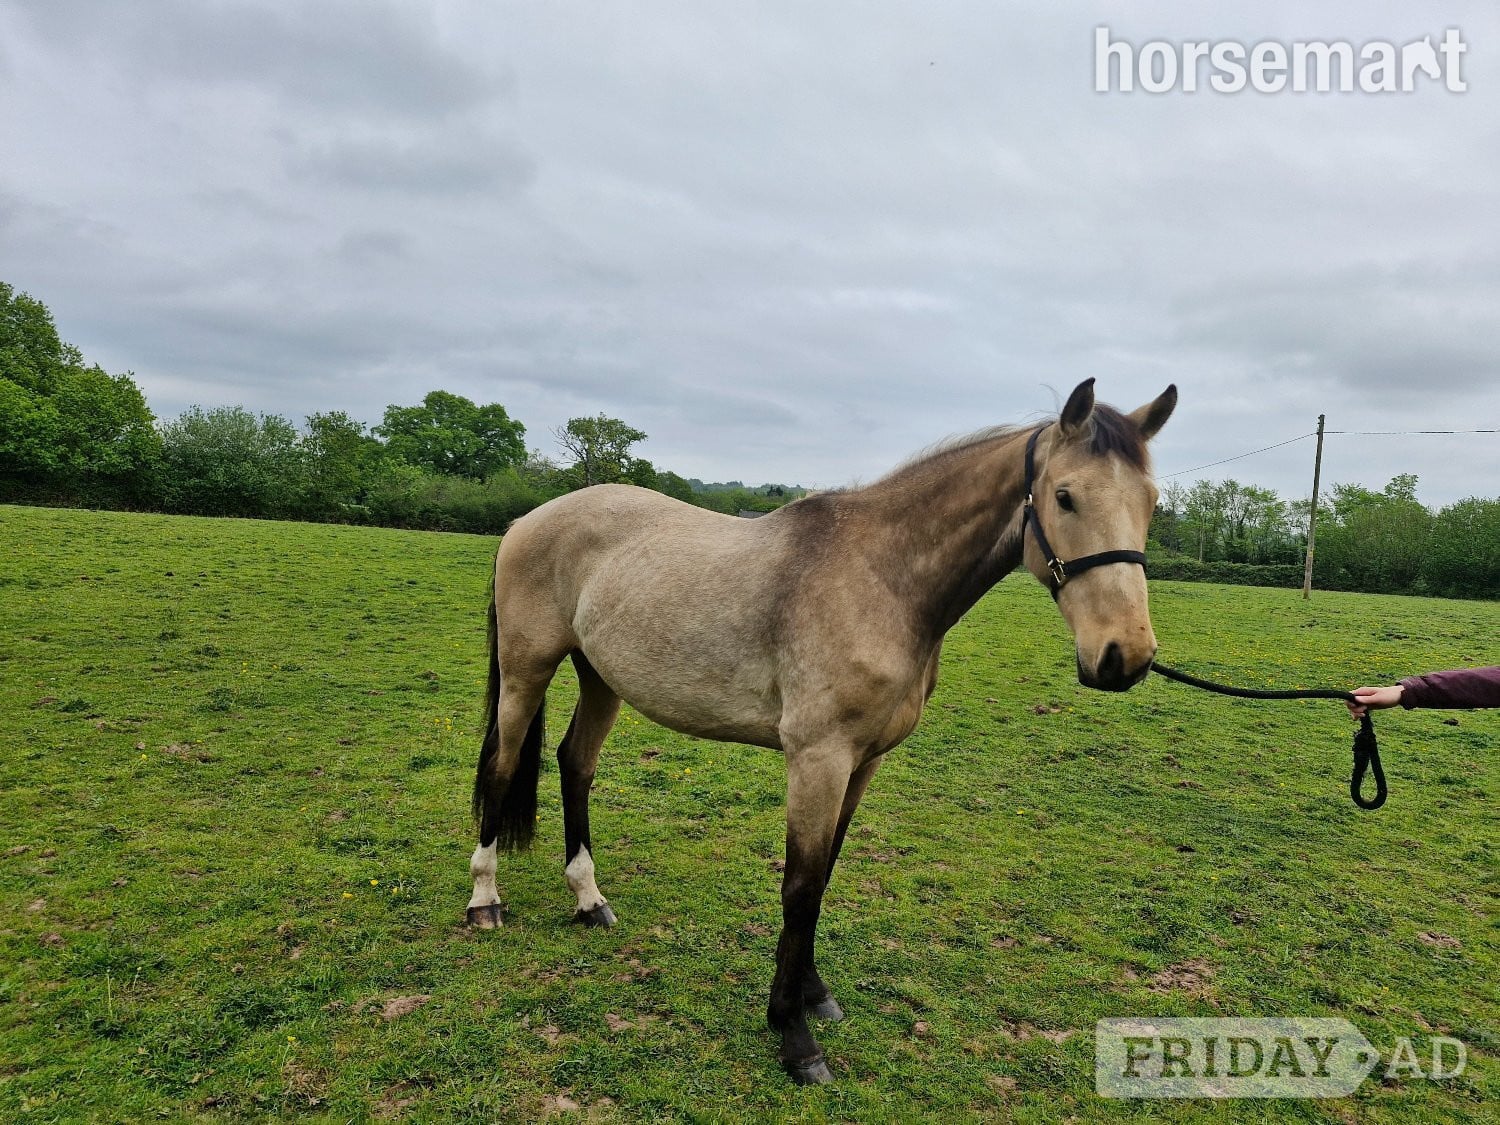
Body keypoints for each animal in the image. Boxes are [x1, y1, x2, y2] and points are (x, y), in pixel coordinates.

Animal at [467, 378, 1177, 1083]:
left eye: (1151, 503)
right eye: (1065, 496)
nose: (1125, 657)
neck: (882, 579)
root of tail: (528, 520)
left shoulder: (862, 763)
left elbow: (826, 873)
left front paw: (813, 994)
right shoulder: (818, 759)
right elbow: (801, 888)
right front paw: (794, 1035)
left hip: (601, 678)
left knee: (575, 763)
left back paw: (589, 900)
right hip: (528, 668)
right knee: (503, 762)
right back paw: (485, 901)